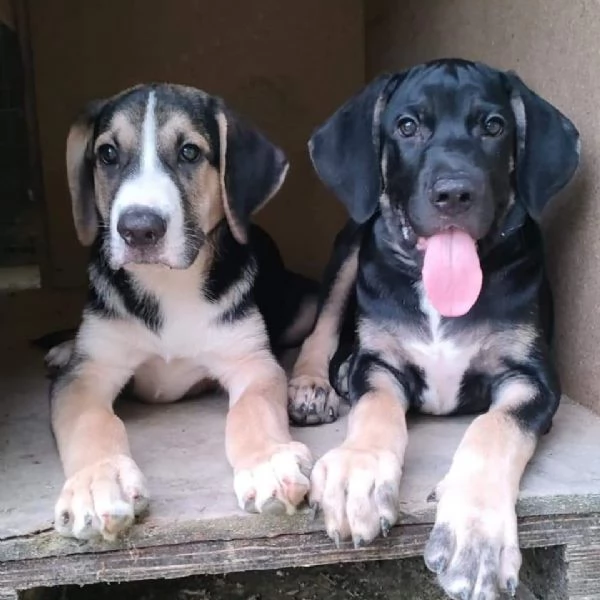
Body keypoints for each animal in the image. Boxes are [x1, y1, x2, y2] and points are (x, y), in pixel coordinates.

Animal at [48, 83, 318, 540]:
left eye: (190, 152)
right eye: (107, 154)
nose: (139, 229)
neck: (168, 285)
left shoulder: (251, 362)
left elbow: (253, 412)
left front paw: (266, 462)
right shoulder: (88, 373)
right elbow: (91, 423)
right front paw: (98, 482)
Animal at [288, 59, 580, 600]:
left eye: (494, 126)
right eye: (407, 126)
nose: (453, 193)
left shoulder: (534, 380)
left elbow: (492, 429)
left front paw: (476, 537)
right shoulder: (379, 364)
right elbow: (375, 408)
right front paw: (357, 472)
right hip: (352, 245)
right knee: (323, 325)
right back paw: (313, 385)